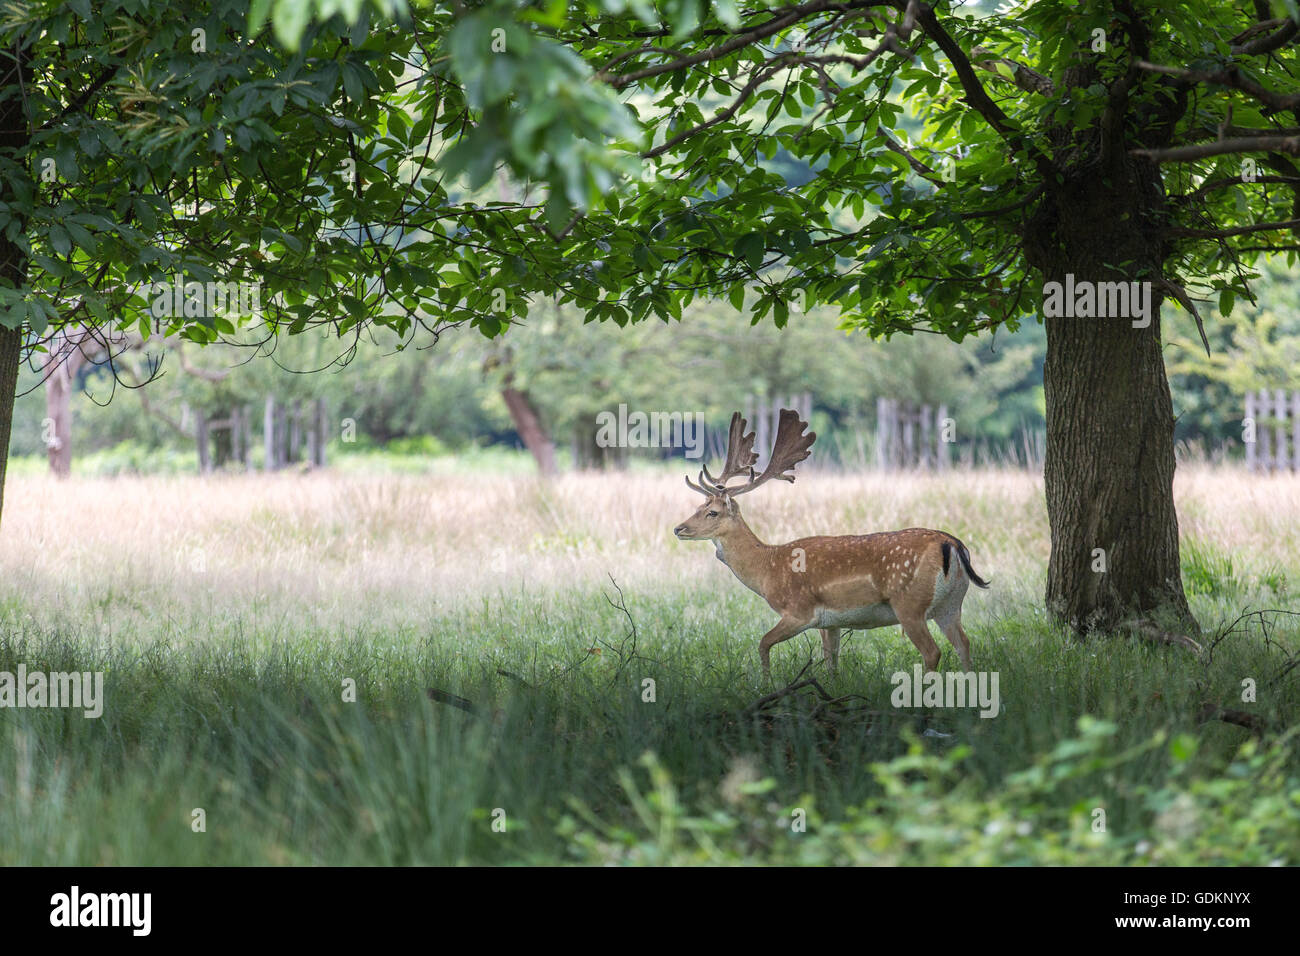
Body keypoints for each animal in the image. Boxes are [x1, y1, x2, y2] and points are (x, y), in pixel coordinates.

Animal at [673, 408, 988, 678]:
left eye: (712, 512)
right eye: (698, 506)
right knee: (964, 644)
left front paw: (765, 683)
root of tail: (952, 544)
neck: (767, 569)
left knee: (933, 652)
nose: (678, 528)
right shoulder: (830, 622)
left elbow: (763, 643)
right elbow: (831, 662)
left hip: (909, 603)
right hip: (950, 605)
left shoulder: (799, 611)